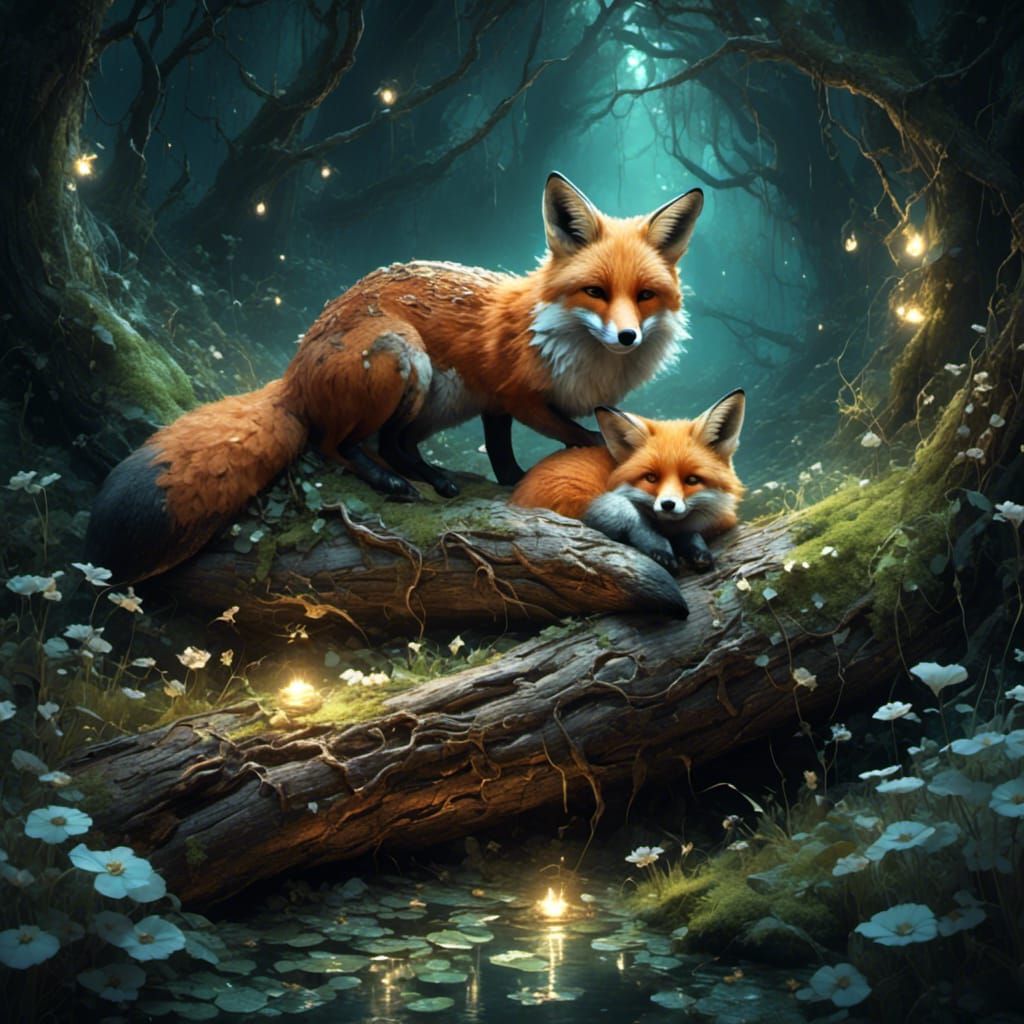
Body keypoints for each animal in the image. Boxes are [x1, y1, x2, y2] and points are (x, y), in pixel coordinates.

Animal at [86, 173, 704, 582]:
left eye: (644, 296)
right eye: (595, 291)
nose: (626, 337)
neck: (563, 338)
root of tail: (292, 371)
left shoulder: (492, 403)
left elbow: (503, 453)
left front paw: (509, 479)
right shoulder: (514, 394)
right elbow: (575, 436)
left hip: (434, 397)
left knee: (393, 443)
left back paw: (432, 478)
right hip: (403, 356)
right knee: (336, 445)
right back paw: (389, 482)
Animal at [510, 389, 745, 575]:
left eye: (692, 480)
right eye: (651, 477)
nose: (668, 504)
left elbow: (691, 534)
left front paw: (696, 549)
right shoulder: (592, 505)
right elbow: (633, 519)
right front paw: (660, 549)